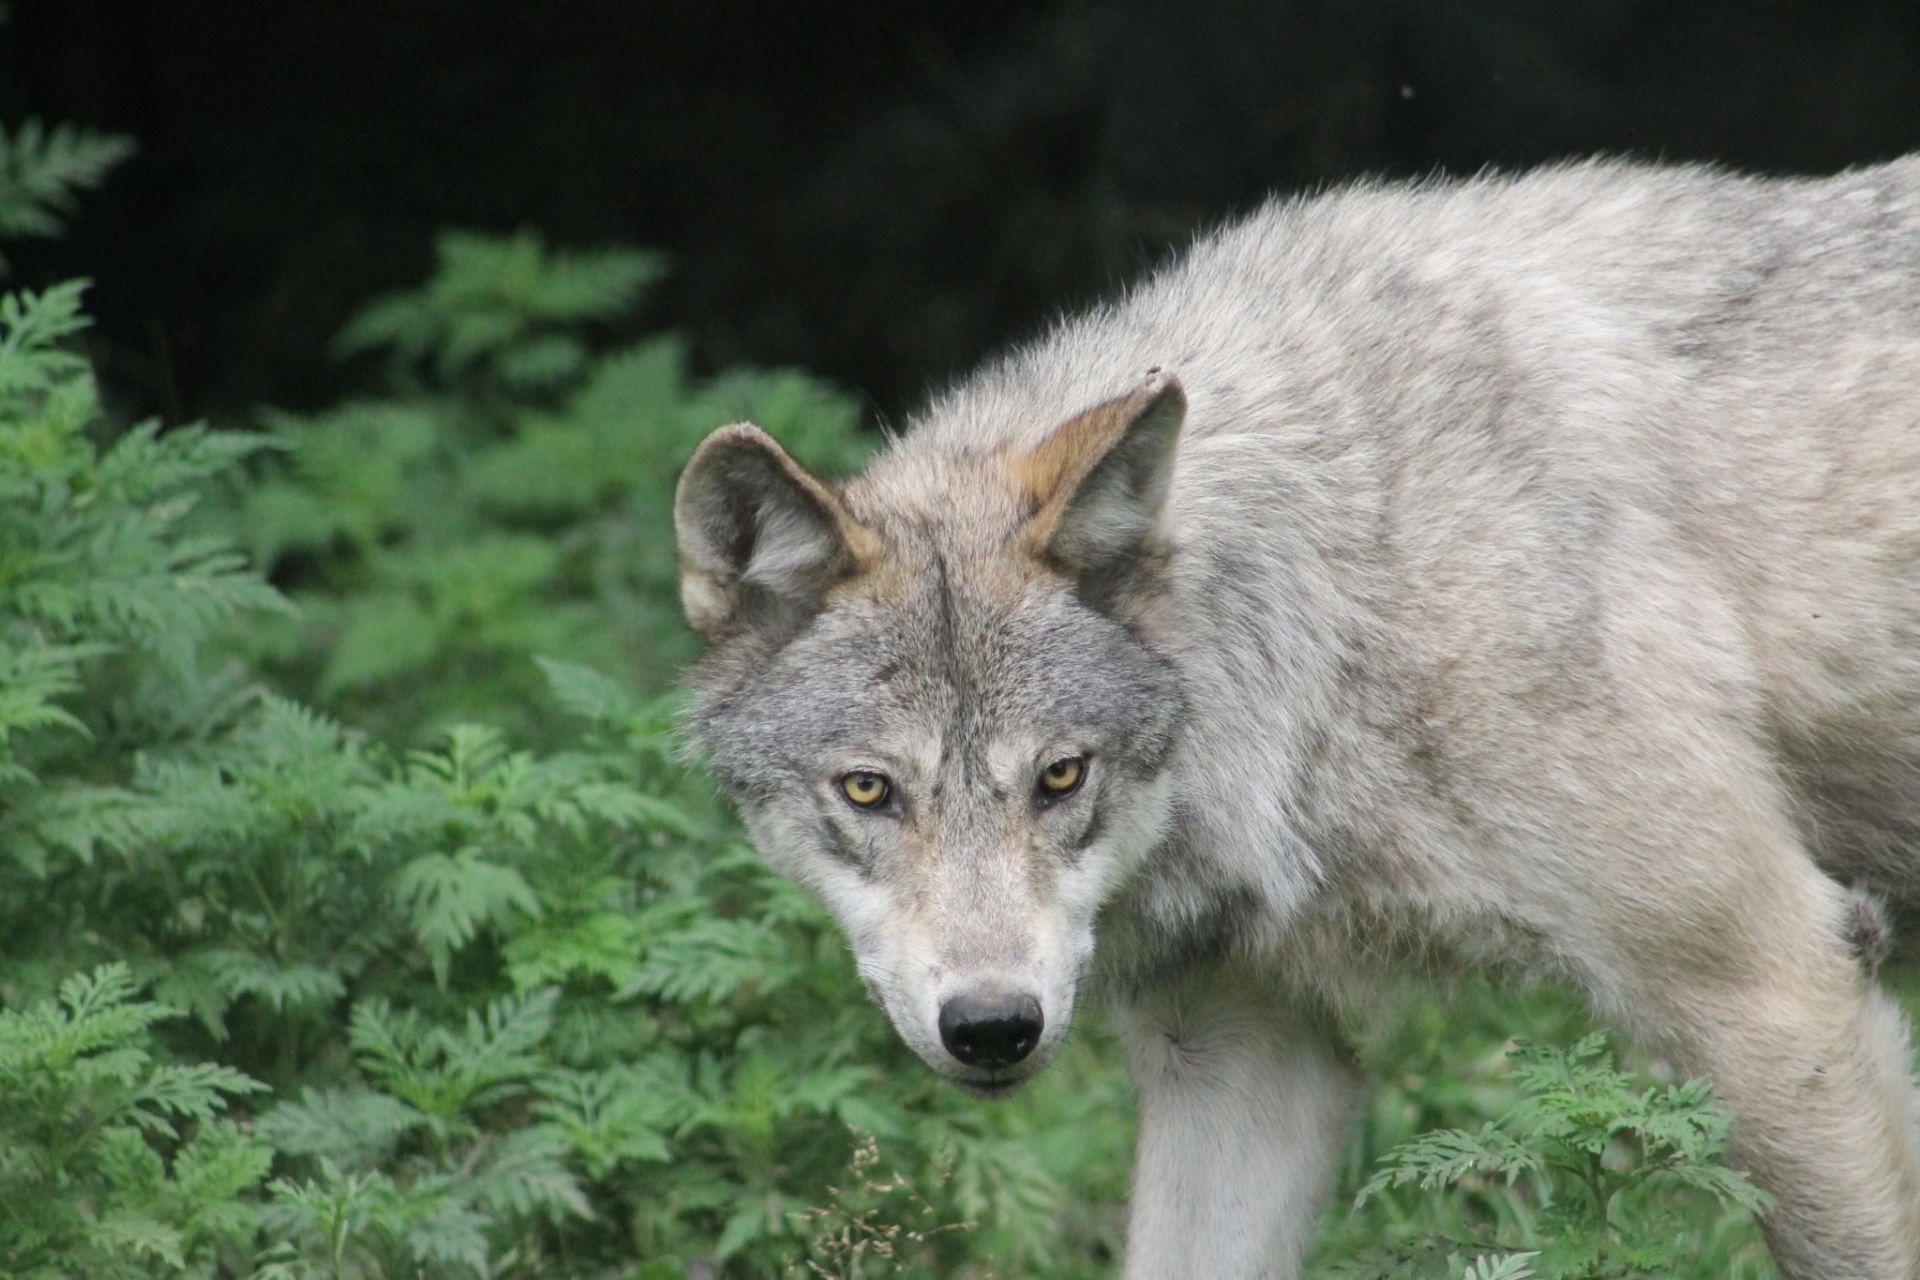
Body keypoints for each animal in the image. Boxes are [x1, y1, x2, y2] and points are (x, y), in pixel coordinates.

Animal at [668, 160, 1920, 1280]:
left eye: (1061, 776)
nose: (992, 1025)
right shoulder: (1245, 1052)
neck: (1341, 600)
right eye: (869, 788)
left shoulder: (1773, 987)